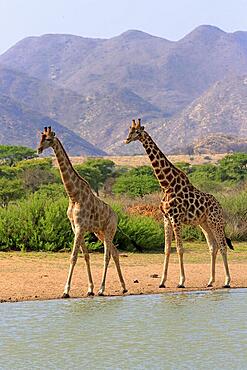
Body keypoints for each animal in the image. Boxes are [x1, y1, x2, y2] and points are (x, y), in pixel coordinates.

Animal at [38, 127, 127, 298]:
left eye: (48, 139)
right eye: (40, 138)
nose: (38, 149)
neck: (73, 196)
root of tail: (116, 215)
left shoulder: (80, 227)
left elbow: (73, 256)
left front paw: (66, 291)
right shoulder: (75, 227)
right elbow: (85, 255)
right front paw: (89, 288)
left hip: (109, 230)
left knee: (107, 255)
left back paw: (102, 289)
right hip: (100, 232)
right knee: (115, 252)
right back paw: (123, 287)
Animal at [125, 118, 233, 290]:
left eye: (137, 131)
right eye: (129, 130)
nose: (127, 139)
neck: (166, 185)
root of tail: (220, 206)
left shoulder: (176, 218)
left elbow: (180, 249)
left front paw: (181, 281)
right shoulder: (166, 218)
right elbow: (167, 249)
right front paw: (162, 282)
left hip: (215, 222)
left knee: (222, 246)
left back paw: (227, 281)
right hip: (204, 223)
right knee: (213, 247)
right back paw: (210, 281)